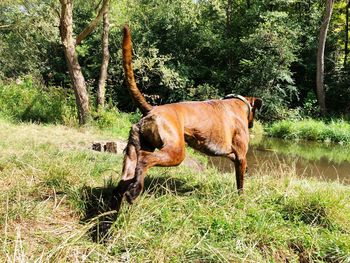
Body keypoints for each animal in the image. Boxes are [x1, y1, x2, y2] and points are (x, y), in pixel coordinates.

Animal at [113, 25, 262, 205]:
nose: (252, 124)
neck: (239, 103)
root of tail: (152, 109)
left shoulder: (232, 155)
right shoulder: (240, 156)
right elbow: (240, 183)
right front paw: (241, 199)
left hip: (134, 151)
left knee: (125, 179)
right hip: (175, 152)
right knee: (144, 160)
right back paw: (135, 191)